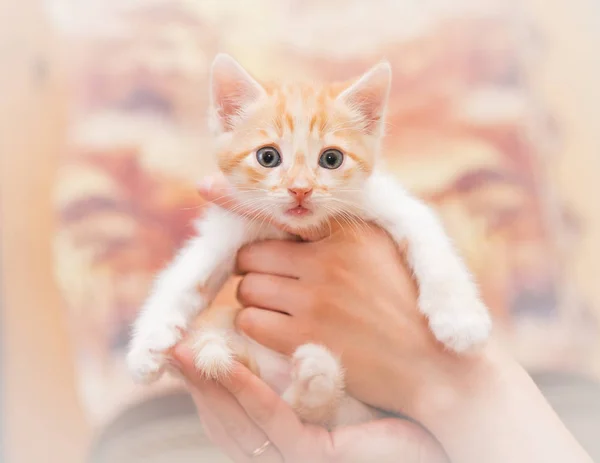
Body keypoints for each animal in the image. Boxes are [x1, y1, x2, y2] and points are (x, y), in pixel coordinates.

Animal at [127, 53, 492, 428]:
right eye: (268, 157)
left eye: (331, 159)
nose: (300, 189)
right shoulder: (231, 226)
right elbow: (184, 276)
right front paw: (147, 348)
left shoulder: (389, 202)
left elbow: (430, 242)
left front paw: (461, 320)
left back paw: (316, 375)